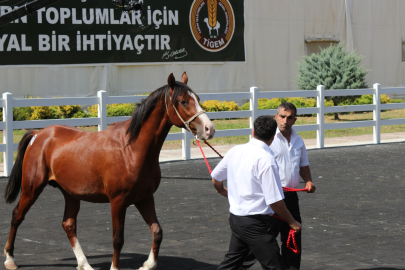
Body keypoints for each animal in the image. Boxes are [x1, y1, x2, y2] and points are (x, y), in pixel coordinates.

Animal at [2, 72, 215, 270]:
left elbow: (157, 231)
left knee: (68, 224)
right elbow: (118, 239)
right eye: (183, 101)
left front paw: (148, 264)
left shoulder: (145, 198)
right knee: (17, 216)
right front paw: (115, 266)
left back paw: (84, 264)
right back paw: (10, 259)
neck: (131, 149)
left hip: (70, 193)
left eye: (198, 98)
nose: (209, 129)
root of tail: (38, 134)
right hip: (32, 188)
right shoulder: (118, 202)